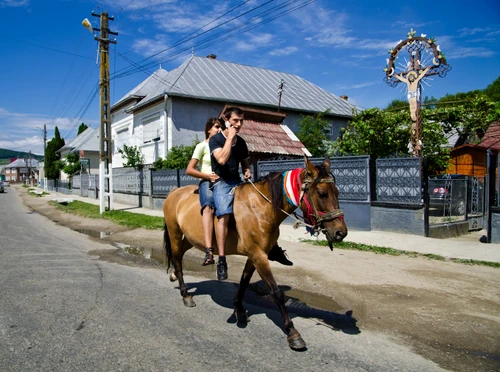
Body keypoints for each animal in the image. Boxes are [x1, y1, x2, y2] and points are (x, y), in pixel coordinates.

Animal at [164, 156, 348, 348]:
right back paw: (185, 294)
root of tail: (174, 192)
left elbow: (244, 282)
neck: (261, 207)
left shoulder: (255, 255)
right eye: (321, 193)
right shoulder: (258, 255)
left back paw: (176, 278)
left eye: (337, 192)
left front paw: (239, 308)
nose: (340, 232)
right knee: (177, 260)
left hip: (190, 238)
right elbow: (276, 292)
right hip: (174, 233)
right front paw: (292, 332)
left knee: (179, 256)